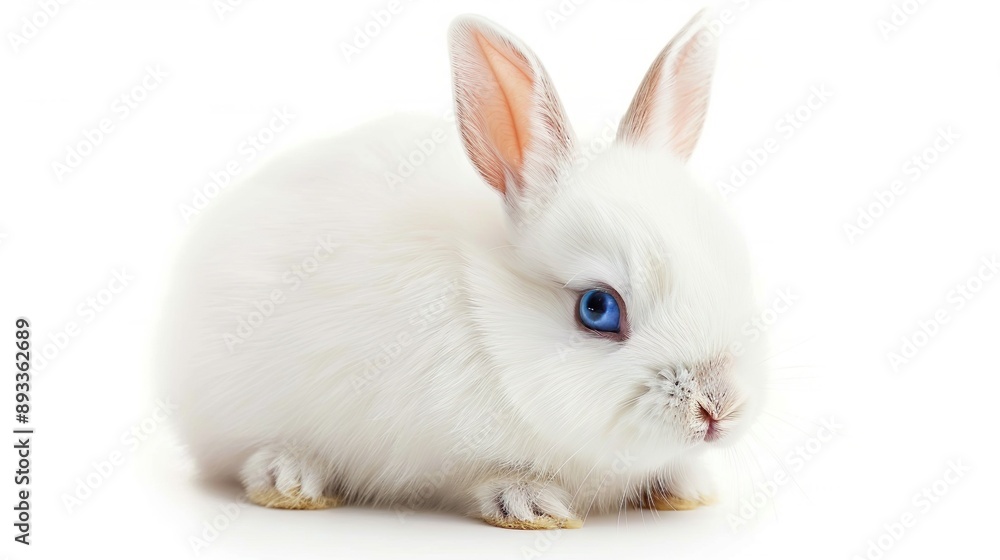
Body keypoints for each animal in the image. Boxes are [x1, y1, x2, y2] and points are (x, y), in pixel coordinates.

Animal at [158, 9, 769, 530]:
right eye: (597, 308)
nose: (719, 406)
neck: (488, 318)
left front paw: (687, 488)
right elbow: (491, 475)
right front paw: (531, 505)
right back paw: (290, 478)